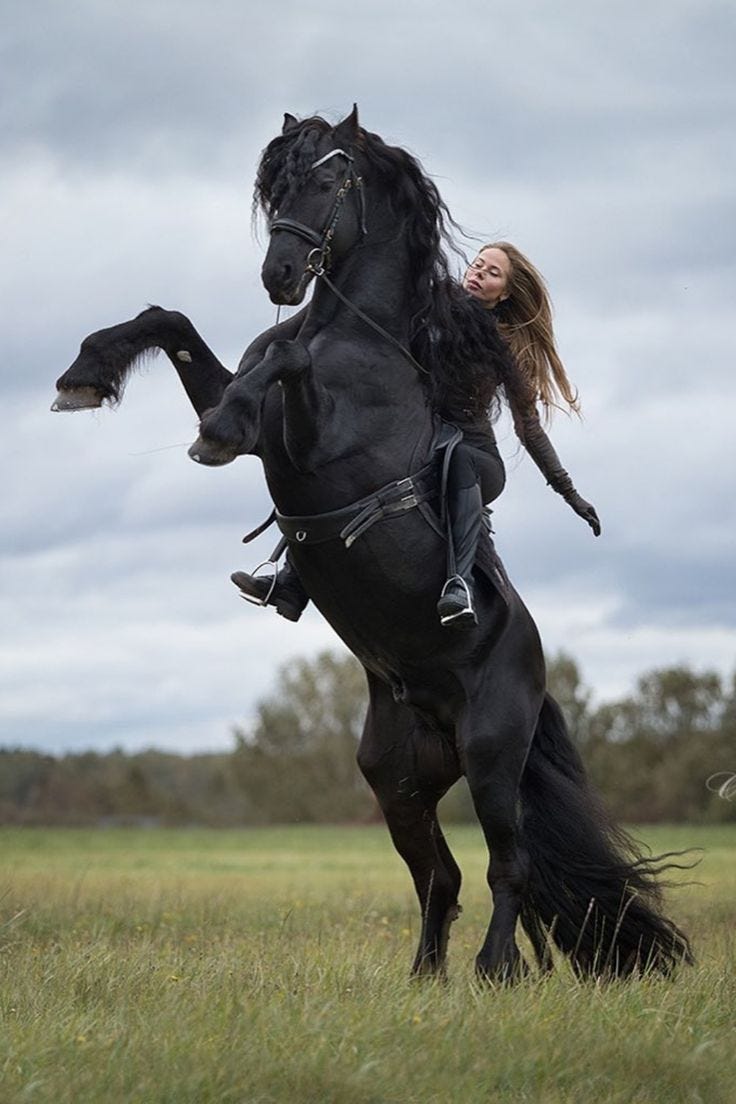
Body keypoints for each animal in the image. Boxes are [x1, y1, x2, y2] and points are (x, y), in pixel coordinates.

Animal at [53, 107, 692, 981]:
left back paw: (495, 971)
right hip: (397, 779)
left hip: (492, 756)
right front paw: (83, 374)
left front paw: (212, 430)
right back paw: (425, 979)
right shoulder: (263, 421)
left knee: (509, 866)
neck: (354, 336)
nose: (281, 275)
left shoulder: (315, 438)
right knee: (442, 877)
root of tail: (533, 672)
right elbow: (172, 322)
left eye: (329, 181)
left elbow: (278, 365)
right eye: (275, 186)